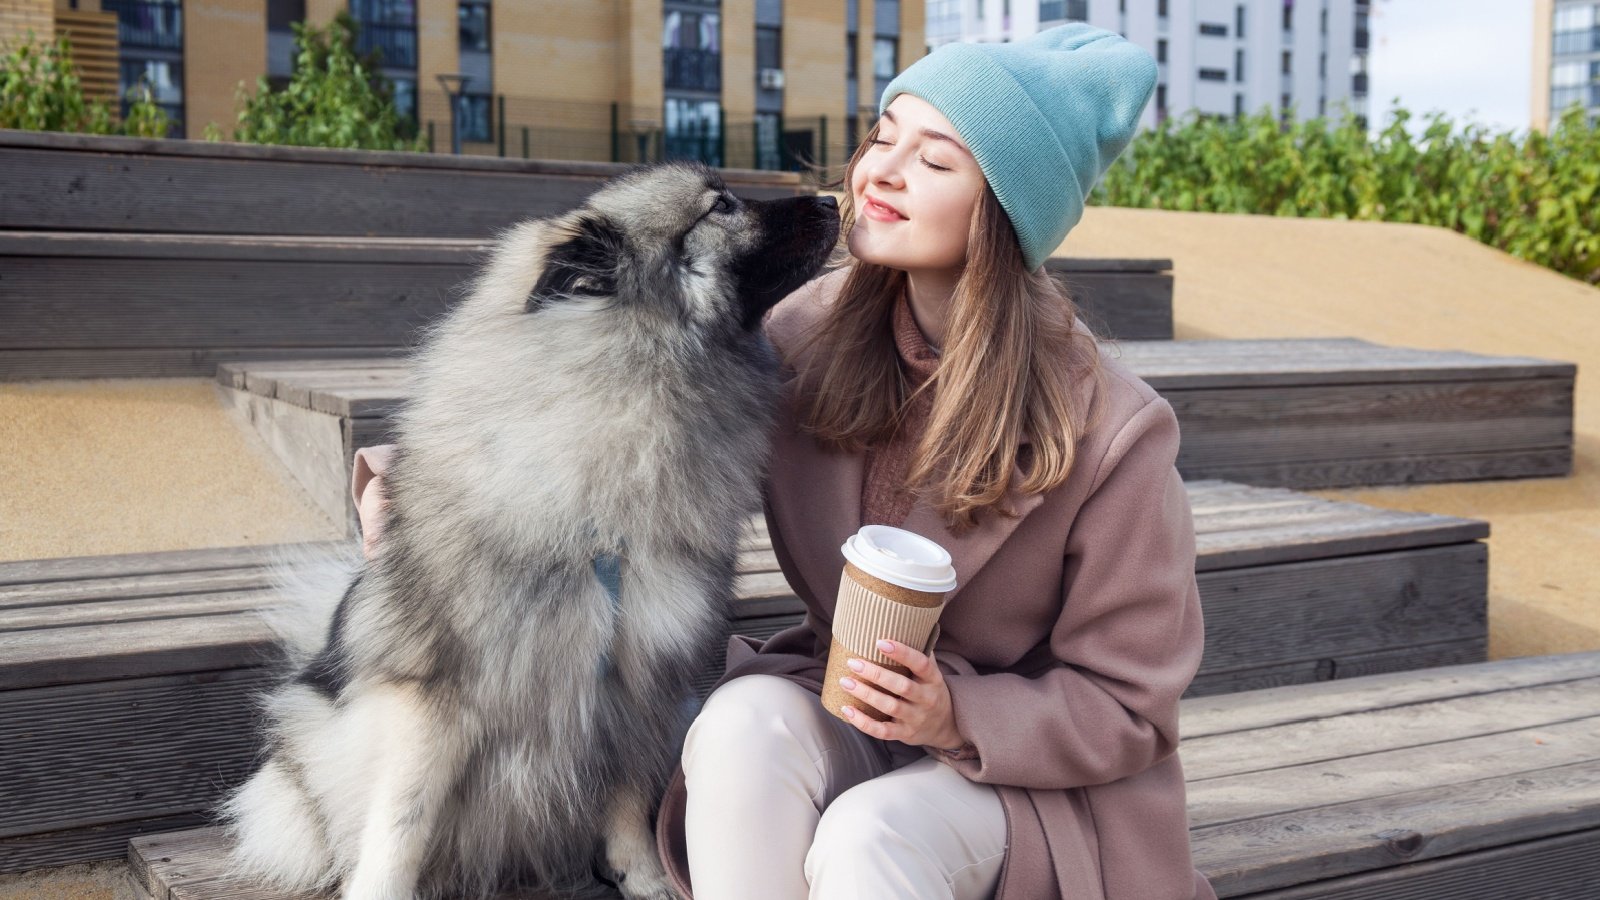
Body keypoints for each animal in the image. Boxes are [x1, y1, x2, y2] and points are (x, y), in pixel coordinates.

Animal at [224, 162, 844, 896]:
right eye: (719, 205)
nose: (832, 200)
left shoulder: (638, 678)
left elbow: (625, 793)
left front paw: (643, 876)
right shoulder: (439, 700)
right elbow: (401, 823)